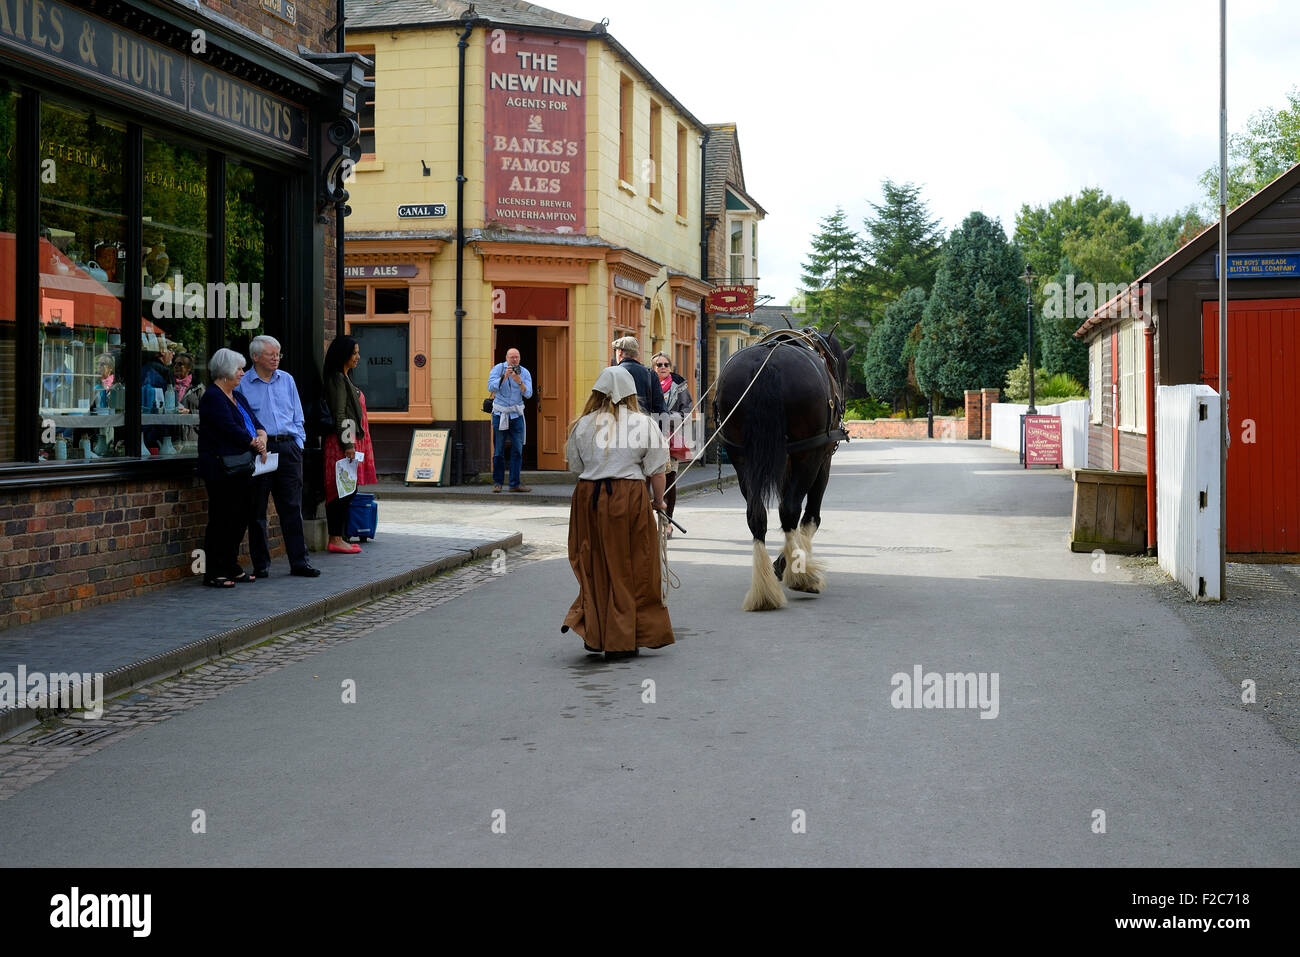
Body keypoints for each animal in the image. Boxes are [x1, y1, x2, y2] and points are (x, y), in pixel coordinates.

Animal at [712, 327, 852, 613]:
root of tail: (767, 365)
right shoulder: (821, 459)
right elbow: (810, 517)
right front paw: (789, 563)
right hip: (809, 453)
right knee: (790, 511)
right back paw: (801, 577)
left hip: (741, 456)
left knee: (756, 515)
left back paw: (765, 589)